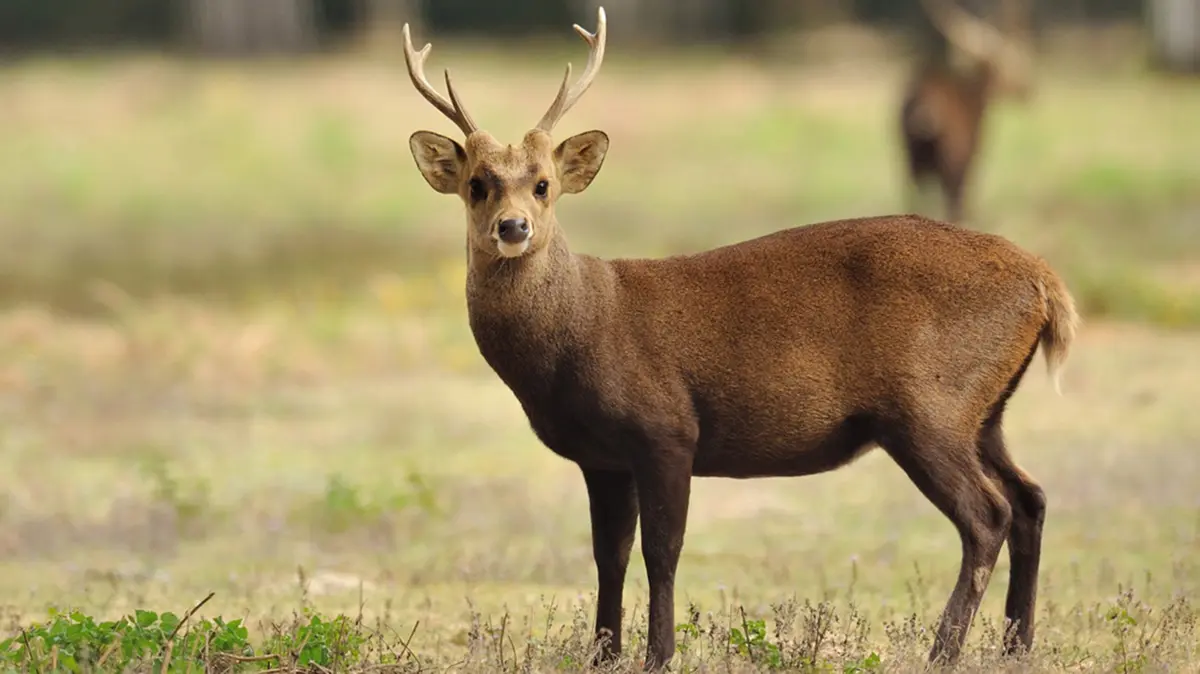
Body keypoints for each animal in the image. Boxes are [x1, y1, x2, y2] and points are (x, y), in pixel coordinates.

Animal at [900, 0, 1034, 225]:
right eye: (1010, 63)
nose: (1029, 91)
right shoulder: (970, 159)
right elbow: (964, 202)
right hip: (950, 159)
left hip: (912, 158)